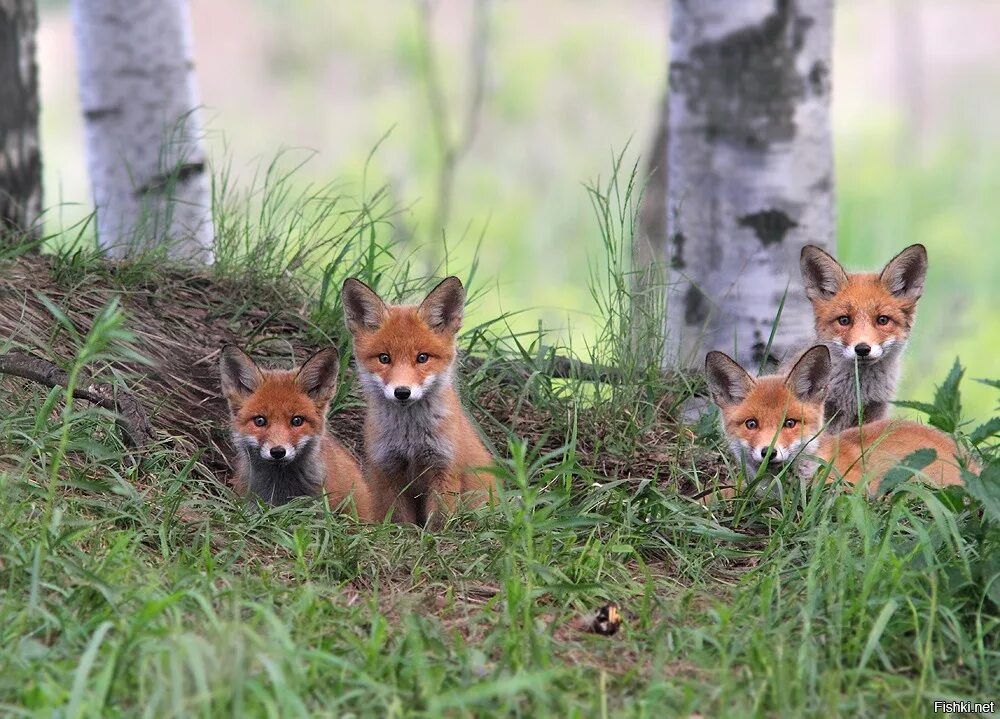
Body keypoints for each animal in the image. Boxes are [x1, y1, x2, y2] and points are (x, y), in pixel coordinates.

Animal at [342, 272, 494, 524]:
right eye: (384, 358)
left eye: (422, 358)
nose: (402, 392)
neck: (410, 438)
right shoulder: (388, 472)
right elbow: (401, 522)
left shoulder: (444, 468)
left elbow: (439, 522)